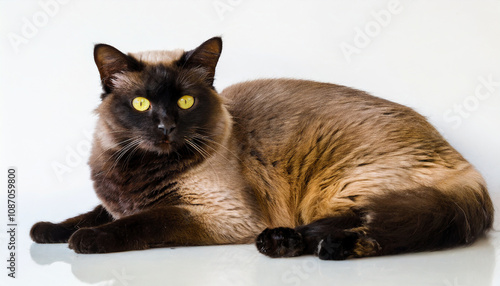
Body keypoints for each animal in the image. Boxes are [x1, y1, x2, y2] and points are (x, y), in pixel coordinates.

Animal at [29, 36, 494, 260]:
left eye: (185, 102)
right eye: (142, 104)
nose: (166, 127)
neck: (142, 168)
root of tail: (464, 164)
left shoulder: (216, 215)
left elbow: (142, 222)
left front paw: (86, 241)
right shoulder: (117, 200)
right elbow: (88, 214)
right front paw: (45, 230)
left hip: (340, 188)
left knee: (374, 225)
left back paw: (300, 245)